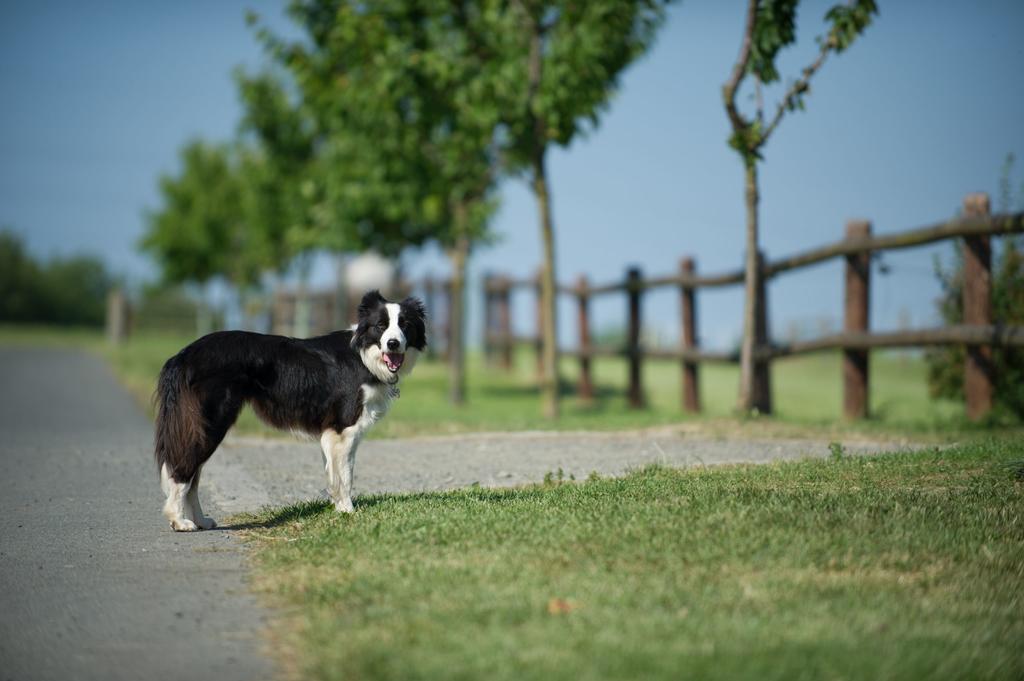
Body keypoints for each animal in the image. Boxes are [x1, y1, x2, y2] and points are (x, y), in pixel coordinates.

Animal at [151, 288, 423, 528]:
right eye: (381, 326)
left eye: (405, 325)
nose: (393, 343)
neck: (364, 356)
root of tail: (182, 356)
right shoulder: (343, 429)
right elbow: (345, 475)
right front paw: (348, 511)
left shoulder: (334, 435)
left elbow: (334, 472)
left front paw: (338, 509)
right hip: (209, 423)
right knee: (182, 470)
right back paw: (179, 521)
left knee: (194, 478)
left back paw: (201, 521)